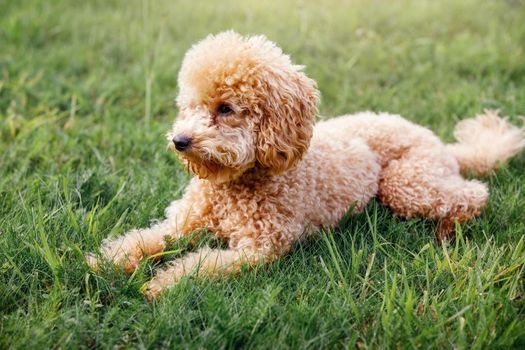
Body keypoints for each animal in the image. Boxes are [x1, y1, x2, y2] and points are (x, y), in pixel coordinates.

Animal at [87, 30, 524, 298]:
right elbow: (146, 238)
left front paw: (161, 285)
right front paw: (106, 260)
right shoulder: (183, 222)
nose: (179, 142)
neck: (235, 186)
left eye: (226, 108)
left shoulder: (259, 248)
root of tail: (440, 144)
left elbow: (199, 264)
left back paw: (448, 229)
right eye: (188, 106)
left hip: (407, 180)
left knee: (474, 194)